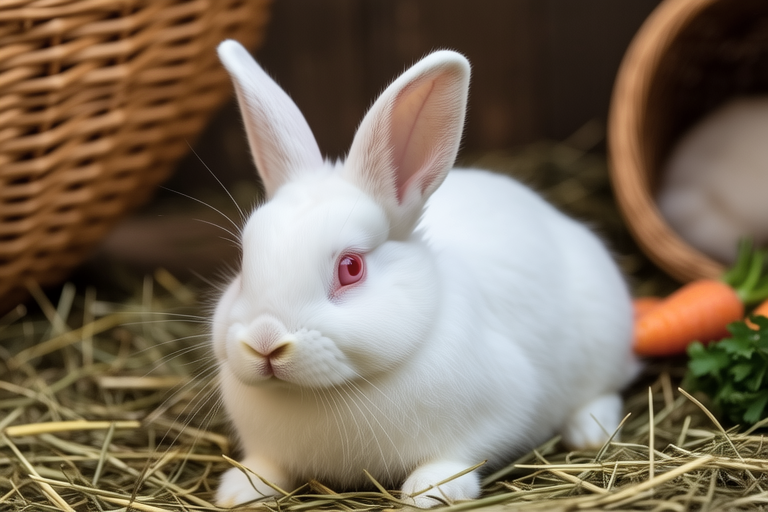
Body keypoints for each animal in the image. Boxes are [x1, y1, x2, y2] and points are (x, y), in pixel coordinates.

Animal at [211, 39, 639, 508]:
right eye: (244, 261)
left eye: (351, 268)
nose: (264, 342)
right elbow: (265, 465)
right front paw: (237, 490)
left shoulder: (505, 409)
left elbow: (460, 455)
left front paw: (431, 491)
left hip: (603, 339)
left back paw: (589, 430)